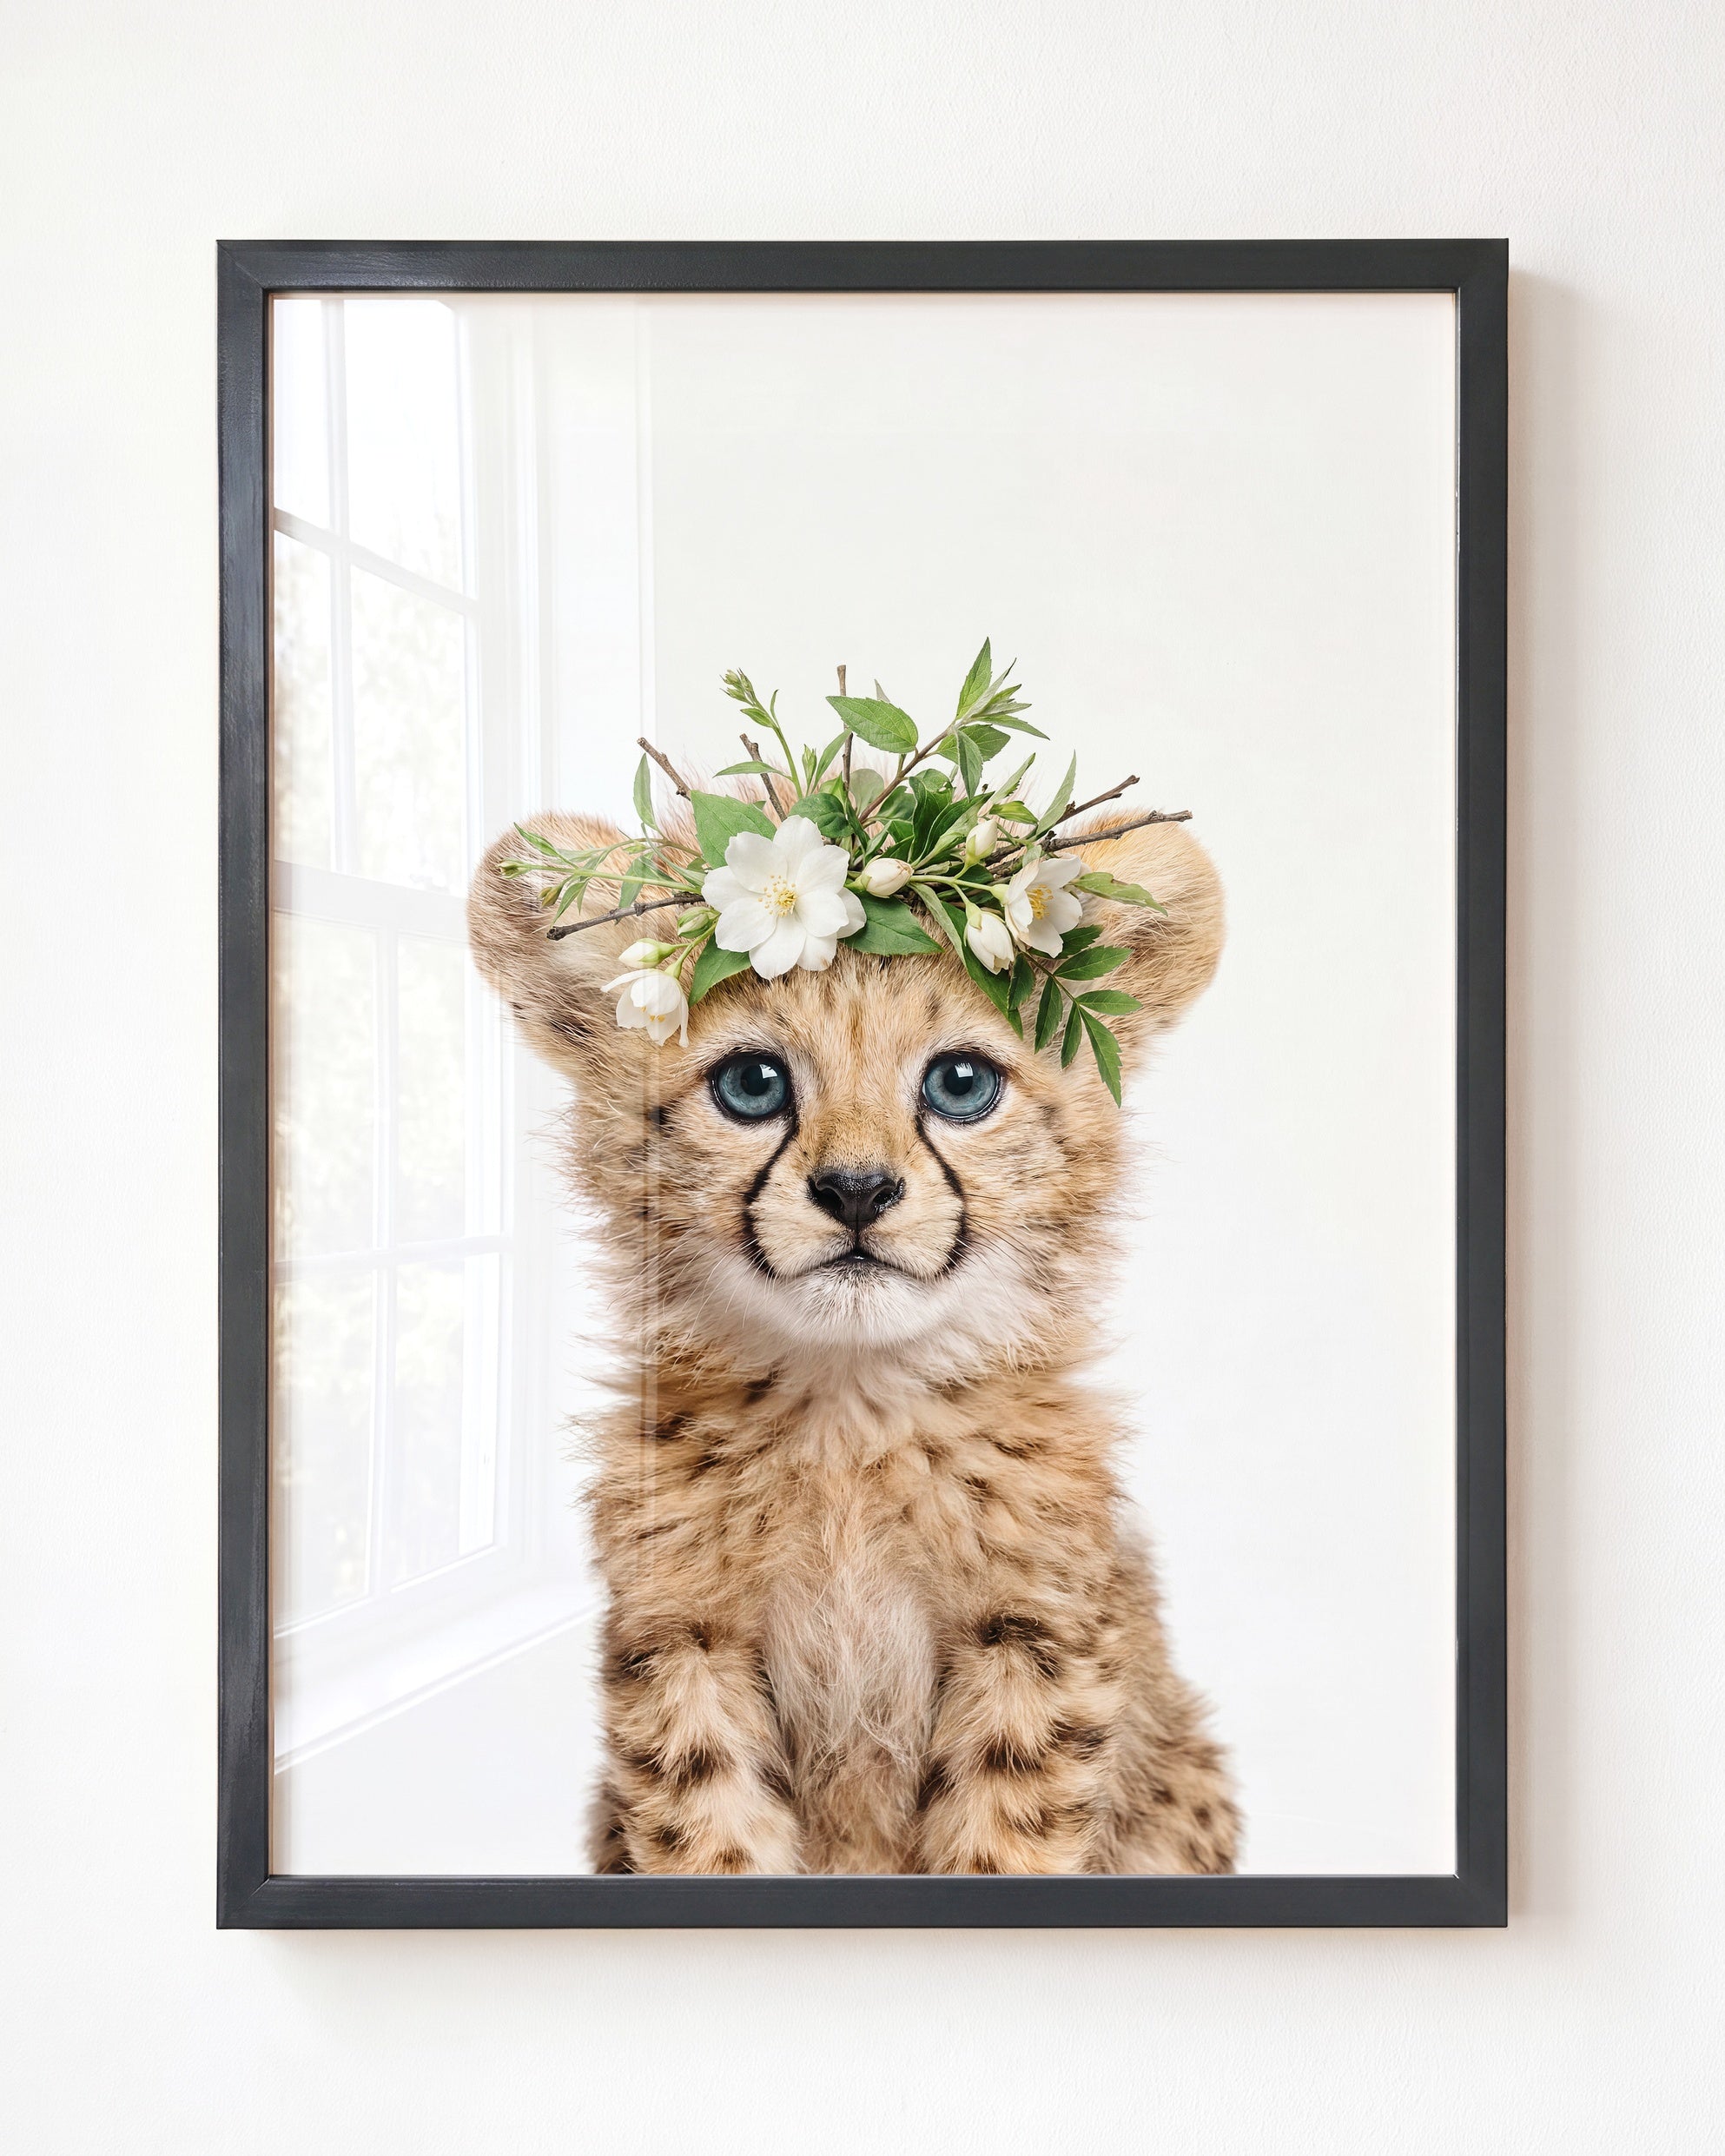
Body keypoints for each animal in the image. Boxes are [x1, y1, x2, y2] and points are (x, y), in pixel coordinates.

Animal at [468, 804, 1238, 1875]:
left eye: (961, 1083)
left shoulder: (1033, 1641)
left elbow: (1003, 1846)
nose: (858, 1190)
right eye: (753, 1084)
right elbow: (710, 1837)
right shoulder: (685, 1639)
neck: (850, 1412)